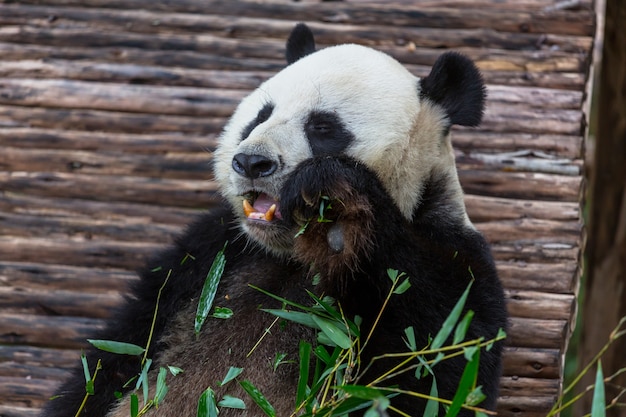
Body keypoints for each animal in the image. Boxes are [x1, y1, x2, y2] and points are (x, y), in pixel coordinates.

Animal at [40, 24, 508, 416]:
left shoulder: (452, 259)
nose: (251, 162)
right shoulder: (209, 255)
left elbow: (433, 368)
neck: (292, 255)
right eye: (260, 115)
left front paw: (340, 219)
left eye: (323, 127)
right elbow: (119, 355)